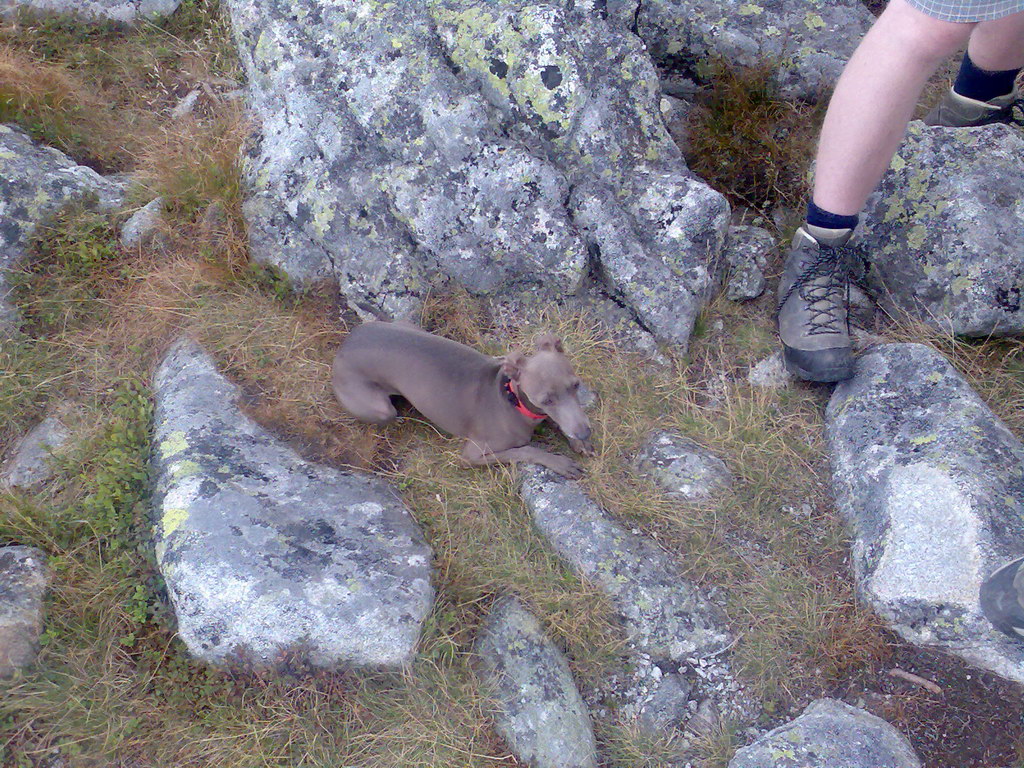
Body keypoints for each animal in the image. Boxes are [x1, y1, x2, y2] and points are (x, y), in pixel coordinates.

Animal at [333, 321, 593, 479]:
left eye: (576, 385)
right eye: (546, 400)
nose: (584, 433)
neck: (512, 401)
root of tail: (347, 343)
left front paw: (578, 443)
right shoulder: (471, 456)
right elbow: (525, 450)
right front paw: (558, 462)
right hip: (381, 410)